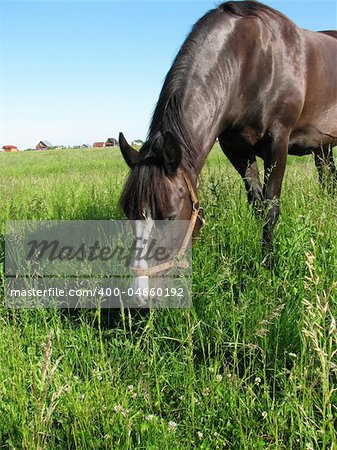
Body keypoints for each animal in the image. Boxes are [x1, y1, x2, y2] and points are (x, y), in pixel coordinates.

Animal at [117, 0, 334, 268]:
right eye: (129, 213)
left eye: (168, 216)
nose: (141, 279)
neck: (249, 61)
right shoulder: (235, 148)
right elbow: (257, 205)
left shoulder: (278, 141)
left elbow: (271, 207)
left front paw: (269, 263)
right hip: (323, 147)